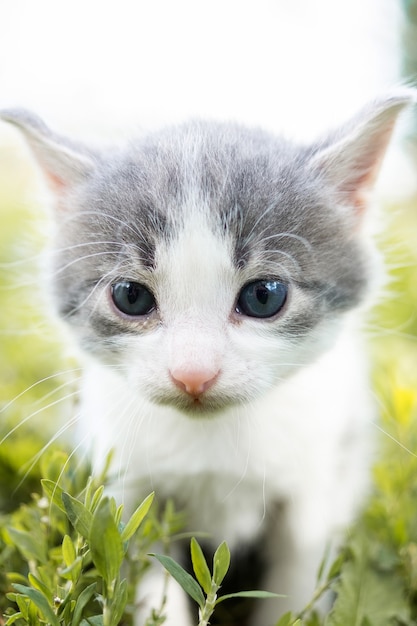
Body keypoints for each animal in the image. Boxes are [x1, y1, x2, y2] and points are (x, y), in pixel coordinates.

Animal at [1, 92, 412, 624]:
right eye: (131, 296)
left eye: (264, 296)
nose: (193, 373)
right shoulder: (128, 484)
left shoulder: (319, 478)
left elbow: (299, 572)